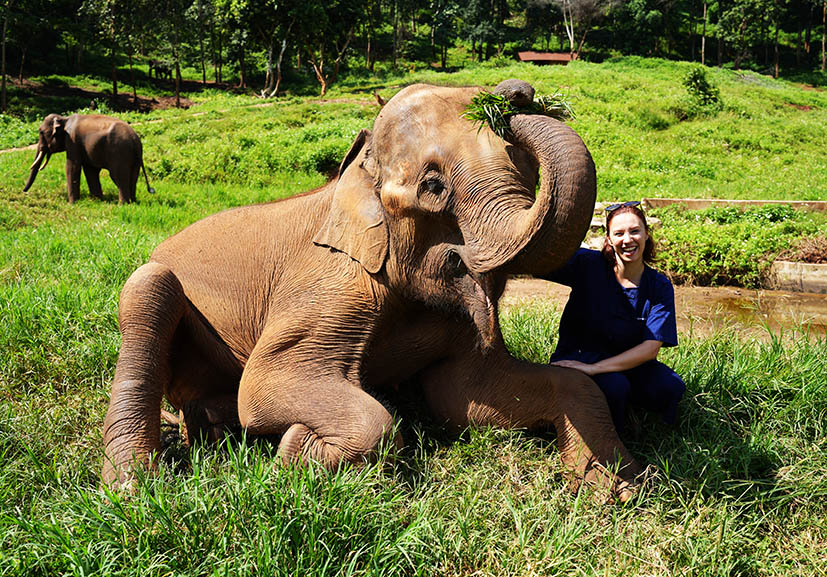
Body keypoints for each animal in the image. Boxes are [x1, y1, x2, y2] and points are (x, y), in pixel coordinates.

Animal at [23, 113, 154, 204]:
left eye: (41, 132)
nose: (23, 191)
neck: (64, 119)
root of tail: (135, 139)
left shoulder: (72, 141)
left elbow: (72, 167)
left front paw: (72, 204)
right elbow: (90, 170)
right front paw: (97, 200)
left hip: (119, 153)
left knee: (118, 177)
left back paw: (122, 204)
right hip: (135, 158)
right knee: (133, 177)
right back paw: (133, 202)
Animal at [102, 80, 648, 500]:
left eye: (527, 175)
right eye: (433, 186)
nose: (517, 93)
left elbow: (467, 396)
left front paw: (620, 489)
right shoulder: (333, 280)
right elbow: (266, 386)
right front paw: (295, 454)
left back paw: (209, 427)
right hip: (154, 283)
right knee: (147, 296)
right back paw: (133, 488)